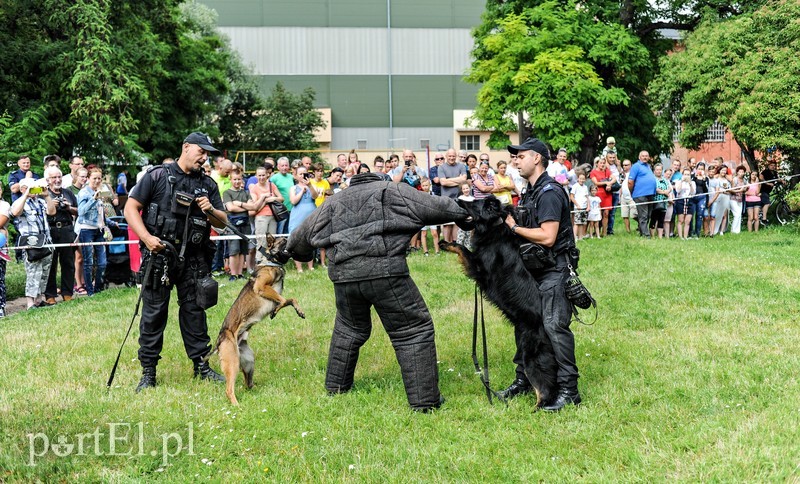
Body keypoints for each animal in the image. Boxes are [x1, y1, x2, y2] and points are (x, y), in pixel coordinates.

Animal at [205, 234, 304, 404]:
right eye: (283, 241)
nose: (290, 237)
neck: (271, 261)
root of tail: (219, 341)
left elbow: (291, 299)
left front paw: (298, 311)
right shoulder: (261, 287)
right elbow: (283, 299)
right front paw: (276, 311)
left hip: (249, 361)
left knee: (247, 384)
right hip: (233, 362)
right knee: (229, 390)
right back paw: (237, 405)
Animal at [440, 195, 560, 406]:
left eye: (473, 203)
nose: (456, 198)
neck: (494, 227)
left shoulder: (480, 269)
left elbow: (462, 248)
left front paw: (447, 244)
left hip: (531, 357)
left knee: (544, 389)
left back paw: (536, 408)